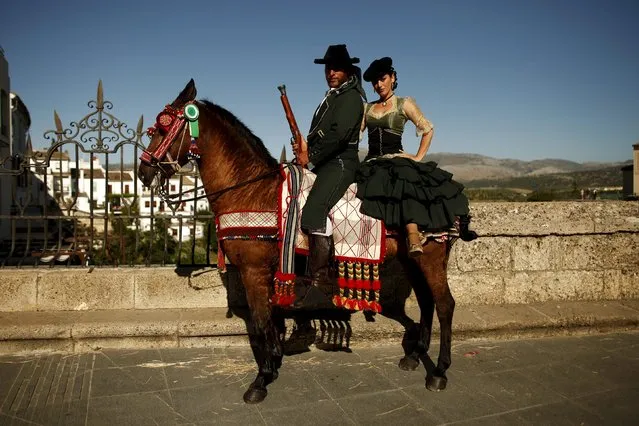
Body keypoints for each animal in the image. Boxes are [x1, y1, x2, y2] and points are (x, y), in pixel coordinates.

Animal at [139, 79, 460, 402]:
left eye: (164, 128)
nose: (143, 172)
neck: (252, 190)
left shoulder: (253, 271)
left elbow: (260, 321)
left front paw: (262, 379)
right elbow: (271, 319)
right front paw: (274, 361)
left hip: (431, 258)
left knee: (445, 304)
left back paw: (439, 371)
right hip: (411, 259)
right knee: (427, 301)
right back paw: (414, 356)